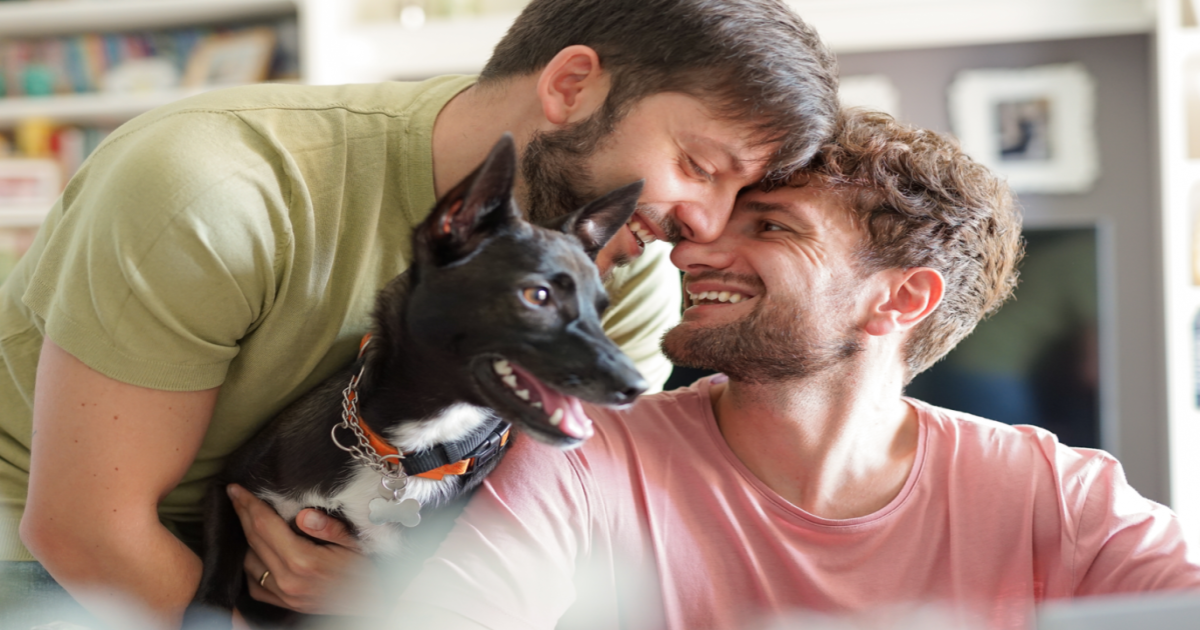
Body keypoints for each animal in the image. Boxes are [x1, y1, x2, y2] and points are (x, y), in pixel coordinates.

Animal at [189, 132, 648, 624]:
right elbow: (212, 594)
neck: (405, 452)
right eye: (537, 295)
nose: (637, 386)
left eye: (600, 309)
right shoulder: (227, 489)